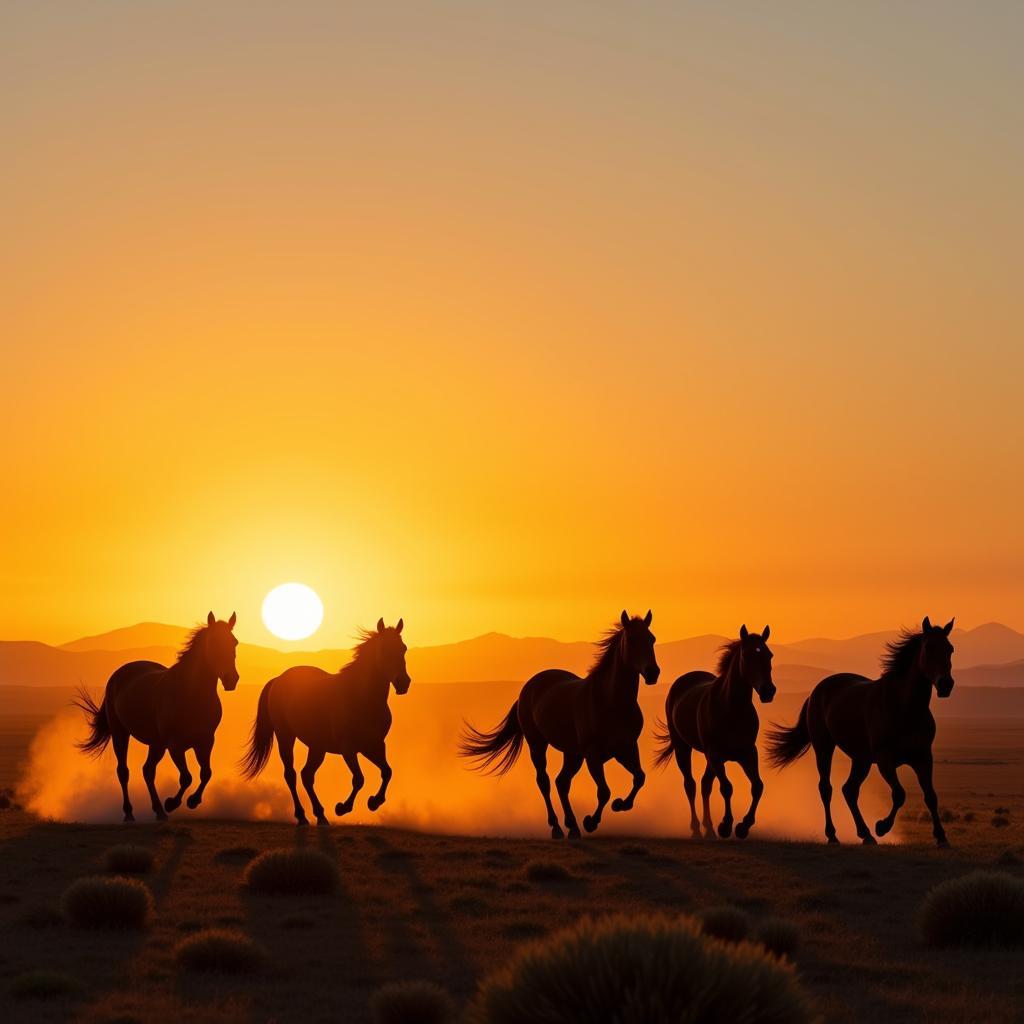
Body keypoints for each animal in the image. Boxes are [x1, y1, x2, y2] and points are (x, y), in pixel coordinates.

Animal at [75, 610, 239, 819]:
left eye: (234, 642)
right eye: (214, 641)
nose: (231, 679)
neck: (191, 695)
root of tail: (118, 675)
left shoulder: (205, 742)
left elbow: (206, 773)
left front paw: (192, 801)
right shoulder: (175, 745)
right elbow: (186, 777)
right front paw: (172, 803)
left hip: (157, 743)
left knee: (148, 771)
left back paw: (159, 810)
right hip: (121, 734)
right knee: (124, 771)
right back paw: (130, 813)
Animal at [241, 614, 409, 823]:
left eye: (403, 648)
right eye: (384, 649)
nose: (403, 683)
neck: (361, 699)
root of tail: (279, 679)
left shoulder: (374, 745)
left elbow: (387, 771)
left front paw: (374, 802)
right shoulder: (348, 748)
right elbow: (359, 779)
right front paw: (342, 808)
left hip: (317, 746)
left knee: (307, 775)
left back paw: (321, 815)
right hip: (285, 736)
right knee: (291, 774)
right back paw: (302, 816)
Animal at [458, 606, 663, 839]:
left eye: (651, 639)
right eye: (631, 639)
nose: (653, 673)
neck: (610, 702)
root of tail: (528, 688)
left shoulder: (626, 749)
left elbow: (639, 778)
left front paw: (620, 805)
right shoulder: (593, 755)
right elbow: (604, 791)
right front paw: (591, 822)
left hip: (572, 753)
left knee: (562, 782)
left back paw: (572, 826)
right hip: (538, 745)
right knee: (545, 781)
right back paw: (557, 827)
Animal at [651, 622, 770, 839]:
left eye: (769, 655)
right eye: (748, 656)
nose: (768, 691)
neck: (732, 710)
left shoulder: (748, 753)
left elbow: (757, 786)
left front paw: (743, 826)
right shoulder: (716, 754)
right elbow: (727, 787)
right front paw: (726, 825)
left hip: (711, 758)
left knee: (706, 784)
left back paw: (709, 828)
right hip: (684, 748)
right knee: (690, 785)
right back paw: (697, 828)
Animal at [765, 614, 954, 847]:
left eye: (950, 649)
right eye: (928, 648)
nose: (946, 684)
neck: (905, 708)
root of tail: (817, 691)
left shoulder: (923, 757)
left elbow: (931, 796)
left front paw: (941, 837)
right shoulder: (885, 760)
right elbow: (899, 794)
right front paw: (882, 826)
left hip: (861, 759)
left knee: (849, 790)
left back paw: (865, 834)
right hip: (824, 747)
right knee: (826, 788)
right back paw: (834, 835)